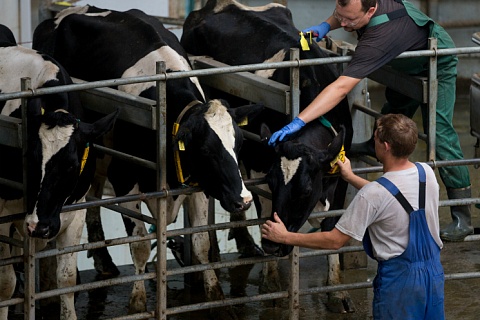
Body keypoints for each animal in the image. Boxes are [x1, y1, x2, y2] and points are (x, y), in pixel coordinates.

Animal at [0, 24, 118, 320]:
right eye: (28, 159)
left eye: (72, 165)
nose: (38, 226)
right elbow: (5, 284)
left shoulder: (75, 211)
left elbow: (66, 279)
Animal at [33, 5, 264, 318]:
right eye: (206, 150)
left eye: (238, 144)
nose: (244, 200)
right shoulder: (124, 178)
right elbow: (140, 245)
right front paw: (138, 302)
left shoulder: (201, 184)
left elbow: (202, 242)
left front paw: (216, 298)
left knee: (93, 194)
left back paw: (104, 262)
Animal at [182, 0, 354, 312]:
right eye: (274, 183)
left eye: (306, 188)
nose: (273, 247)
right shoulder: (260, 166)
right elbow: (263, 211)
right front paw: (270, 281)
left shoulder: (340, 173)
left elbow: (332, 222)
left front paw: (336, 290)